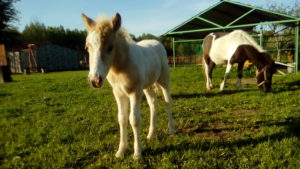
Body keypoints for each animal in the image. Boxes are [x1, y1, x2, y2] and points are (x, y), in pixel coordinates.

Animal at [82, 13, 176, 160]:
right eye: (87, 48)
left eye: (110, 47)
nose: (95, 80)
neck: (121, 66)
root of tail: (156, 42)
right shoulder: (119, 94)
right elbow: (122, 119)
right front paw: (121, 151)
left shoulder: (135, 92)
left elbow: (134, 120)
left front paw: (137, 153)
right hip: (147, 87)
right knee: (153, 104)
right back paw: (151, 134)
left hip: (164, 80)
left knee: (167, 102)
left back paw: (171, 129)